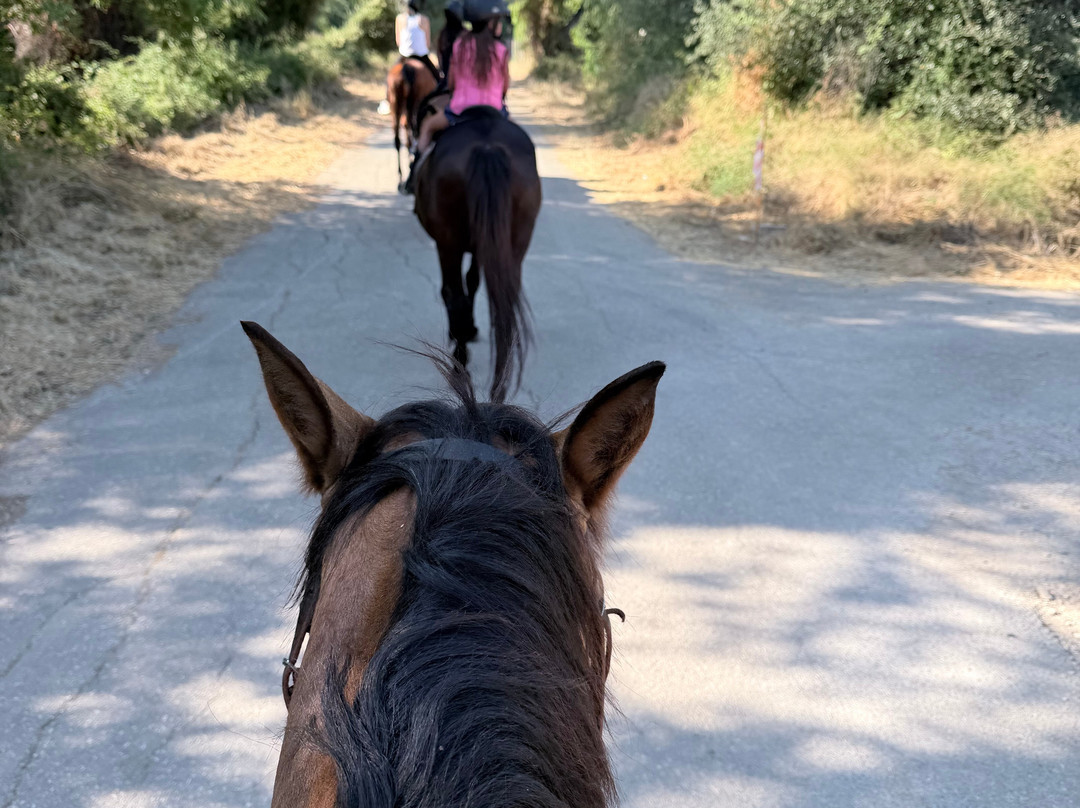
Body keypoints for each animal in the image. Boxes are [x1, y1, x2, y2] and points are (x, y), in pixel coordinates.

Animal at [386, 58, 439, 191]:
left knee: (398, 138)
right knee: (413, 131)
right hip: (415, 103)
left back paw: (401, 177)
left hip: (396, 105)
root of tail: (406, 67)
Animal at [412, 111, 542, 402]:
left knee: (454, 295)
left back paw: (459, 366)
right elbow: (473, 280)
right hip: (513, 244)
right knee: (505, 306)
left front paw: (463, 331)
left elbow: (457, 290)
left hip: (449, 243)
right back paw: (499, 386)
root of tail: (487, 147)